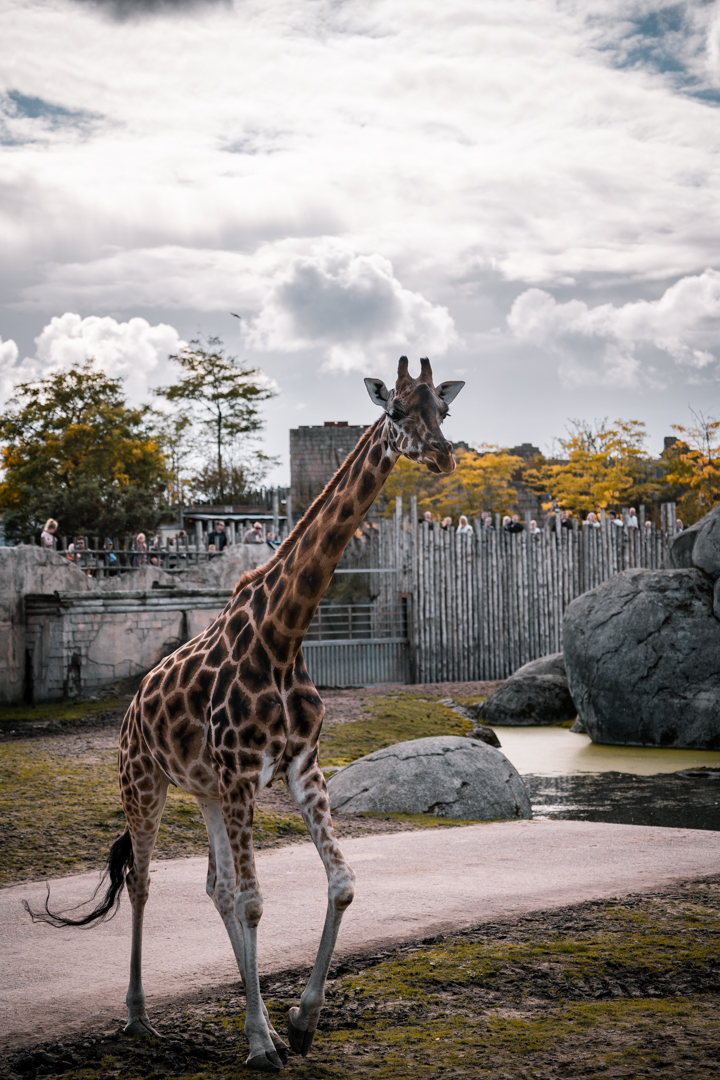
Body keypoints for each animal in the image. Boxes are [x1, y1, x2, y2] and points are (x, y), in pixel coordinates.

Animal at [26, 356, 464, 1072]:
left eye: (443, 410)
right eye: (397, 410)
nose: (443, 454)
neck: (285, 635)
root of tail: (130, 708)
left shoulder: (300, 768)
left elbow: (339, 883)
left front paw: (299, 1022)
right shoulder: (241, 775)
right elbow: (258, 902)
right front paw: (262, 1042)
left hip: (204, 792)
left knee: (215, 886)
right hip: (143, 783)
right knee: (146, 881)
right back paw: (139, 1017)